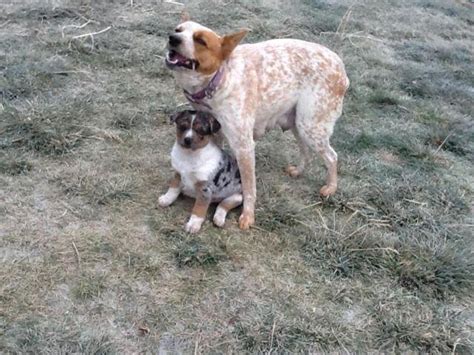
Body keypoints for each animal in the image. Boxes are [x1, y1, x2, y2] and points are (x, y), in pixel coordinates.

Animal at [165, 13, 350, 231]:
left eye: (201, 41)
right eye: (178, 30)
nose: (172, 38)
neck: (220, 78)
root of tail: (341, 67)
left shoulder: (244, 147)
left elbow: (248, 187)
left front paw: (248, 216)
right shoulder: (214, 137)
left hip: (311, 126)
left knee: (332, 156)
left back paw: (330, 188)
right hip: (298, 124)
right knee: (306, 152)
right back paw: (298, 171)